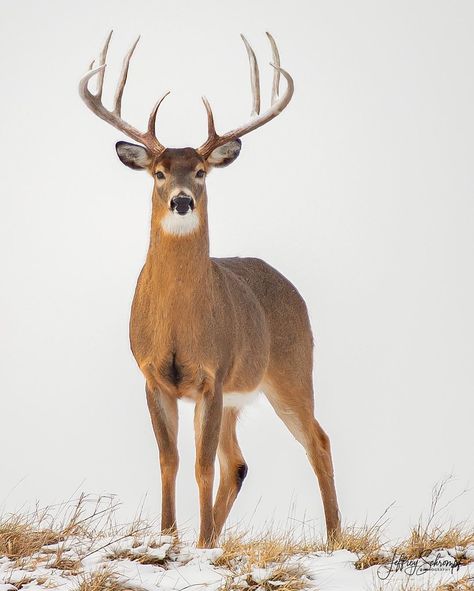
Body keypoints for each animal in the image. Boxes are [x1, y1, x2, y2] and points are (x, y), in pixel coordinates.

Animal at [80, 31, 340, 552]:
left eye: (201, 171)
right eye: (159, 172)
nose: (182, 201)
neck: (180, 323)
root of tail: (293, 291)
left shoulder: (212, 374)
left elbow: (199, 465)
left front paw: (197, 543)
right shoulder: (152, 376)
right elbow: (170, 460)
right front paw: (169, 536)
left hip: (291, 371)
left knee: (317, 442)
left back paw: (336, 538)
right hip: (241, 397)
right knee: (236, 463)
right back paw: (218, 535)